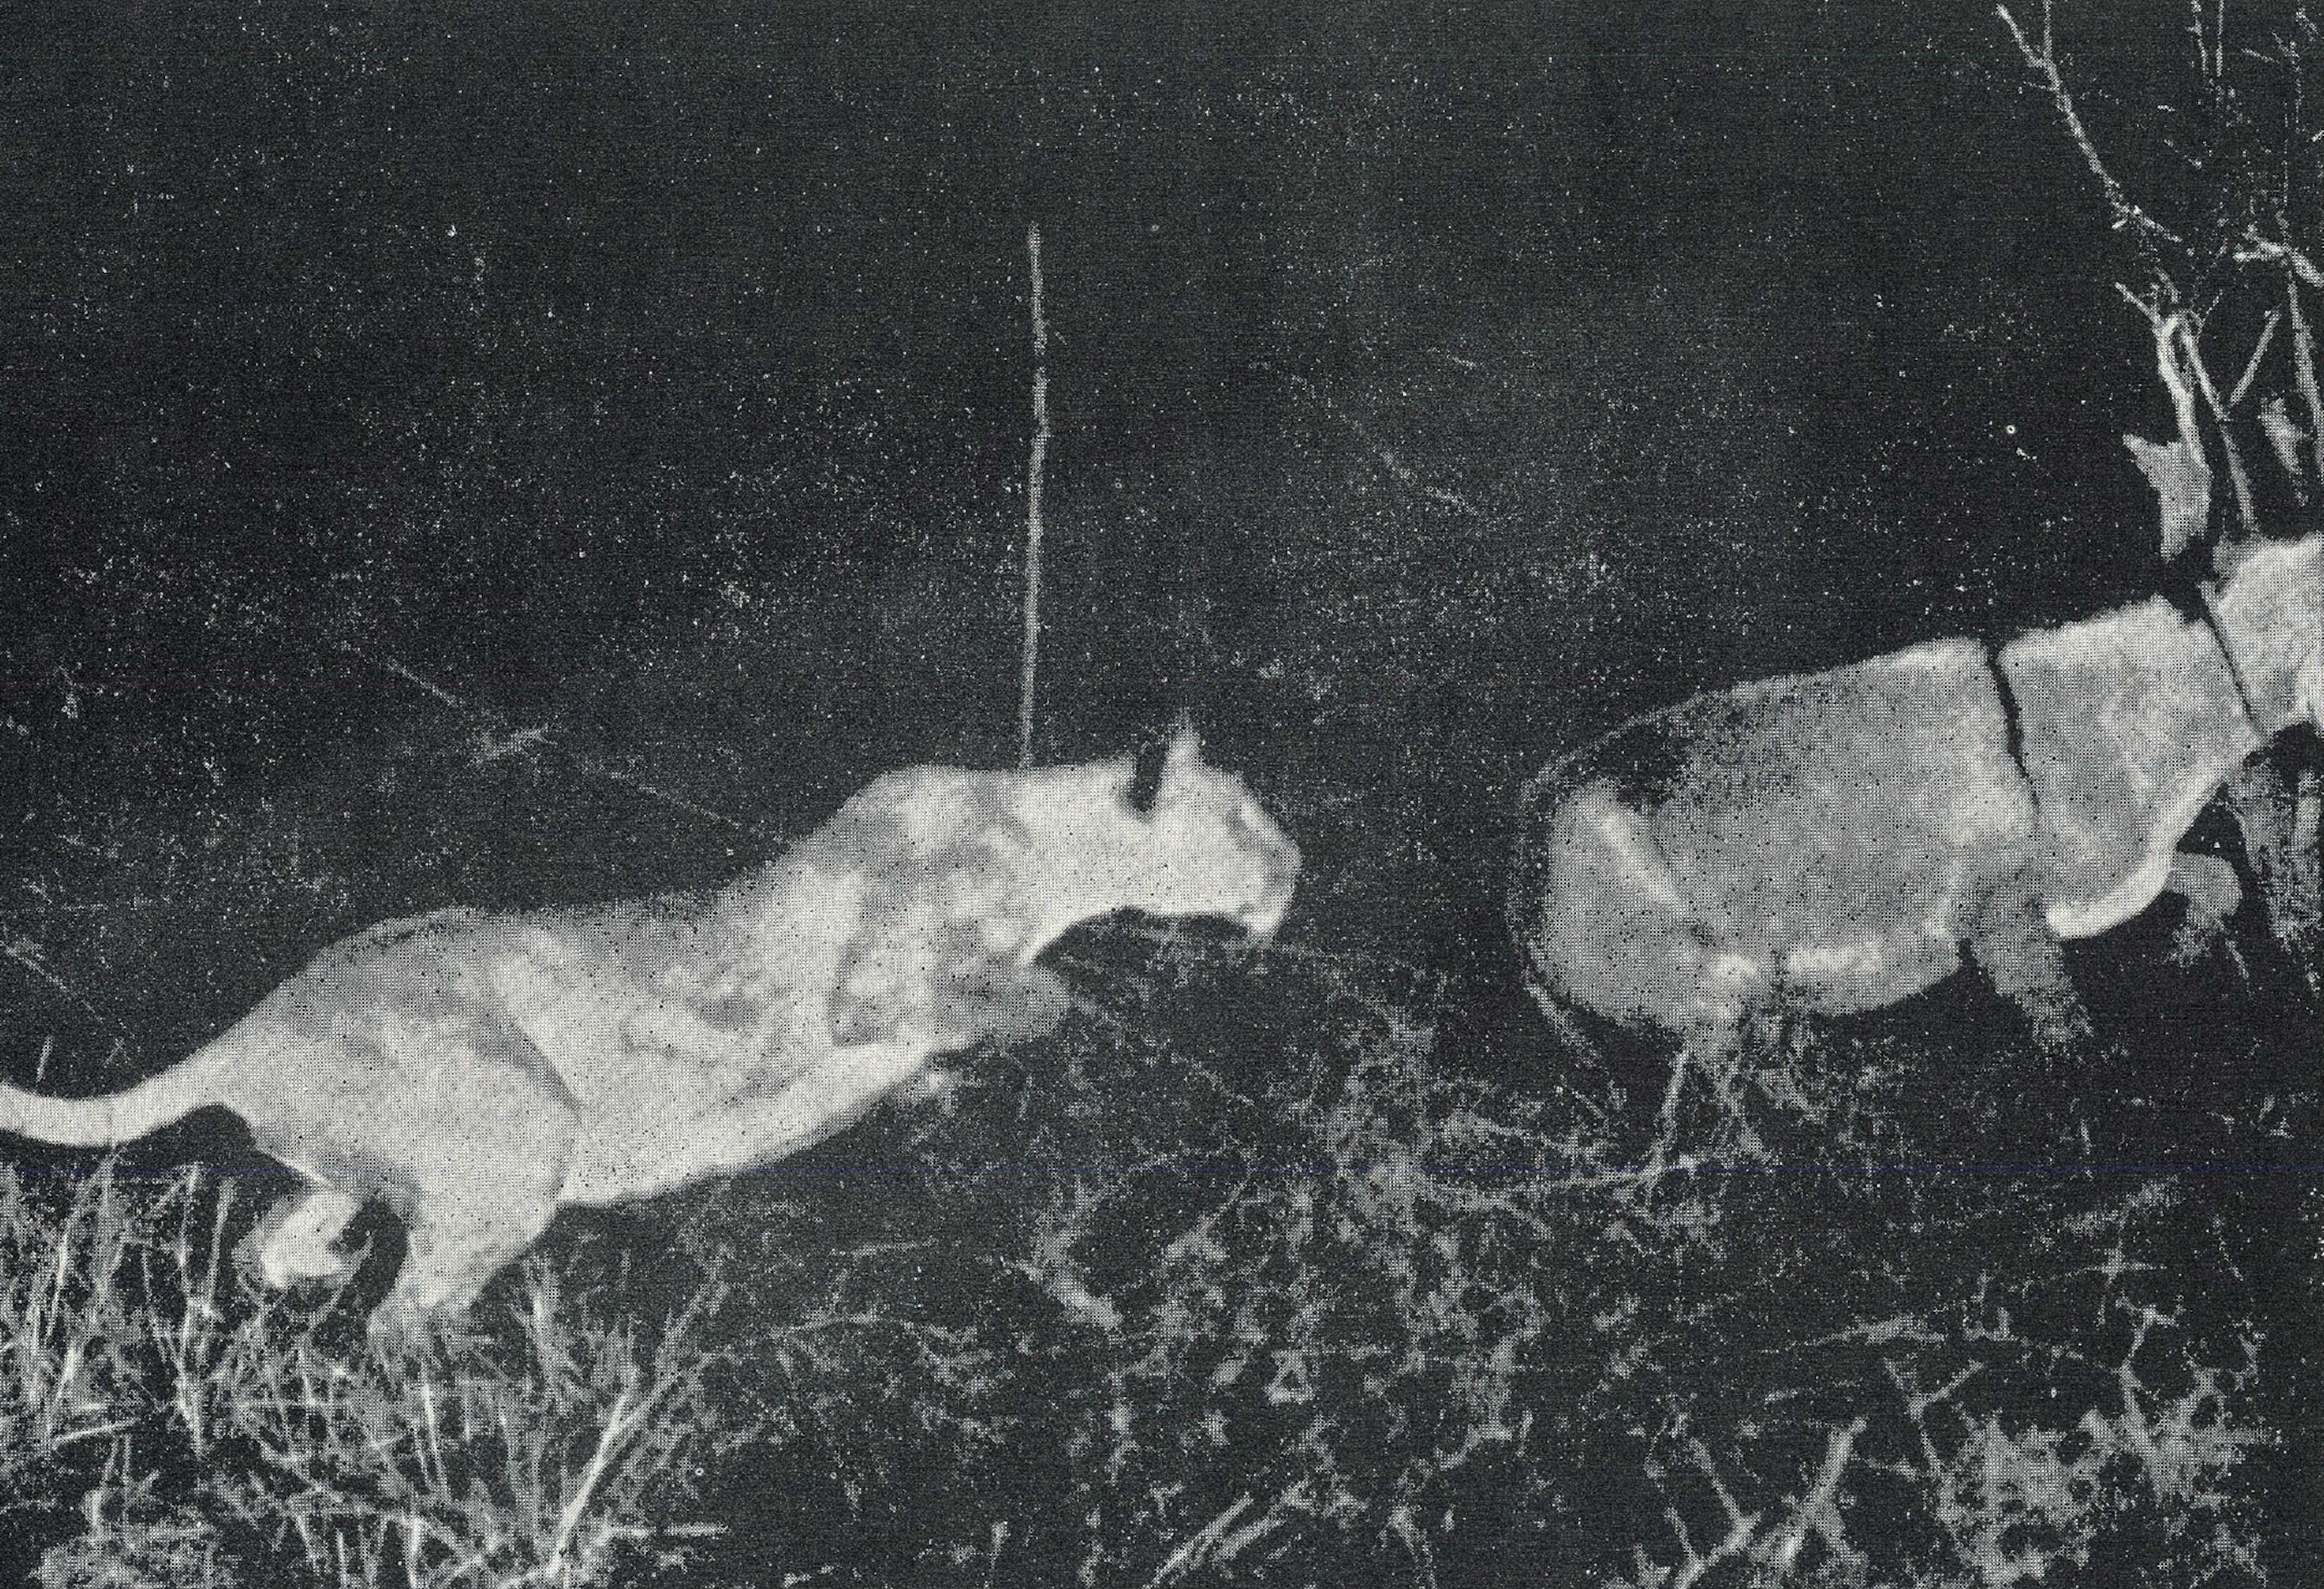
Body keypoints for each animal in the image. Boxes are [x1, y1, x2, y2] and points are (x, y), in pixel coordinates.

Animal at [0, 722, 1301, 1337]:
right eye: (1241, 817)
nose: (1297, 866)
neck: (1048, 845)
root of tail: (253, 1026)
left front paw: (940, 1087)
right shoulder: (875, 984)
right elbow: (1033, 998)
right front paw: (1020, 1033)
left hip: (368, 1164)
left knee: (276, 1243)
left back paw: (324, 1273)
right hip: (522, 1133)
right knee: (402, 1325)